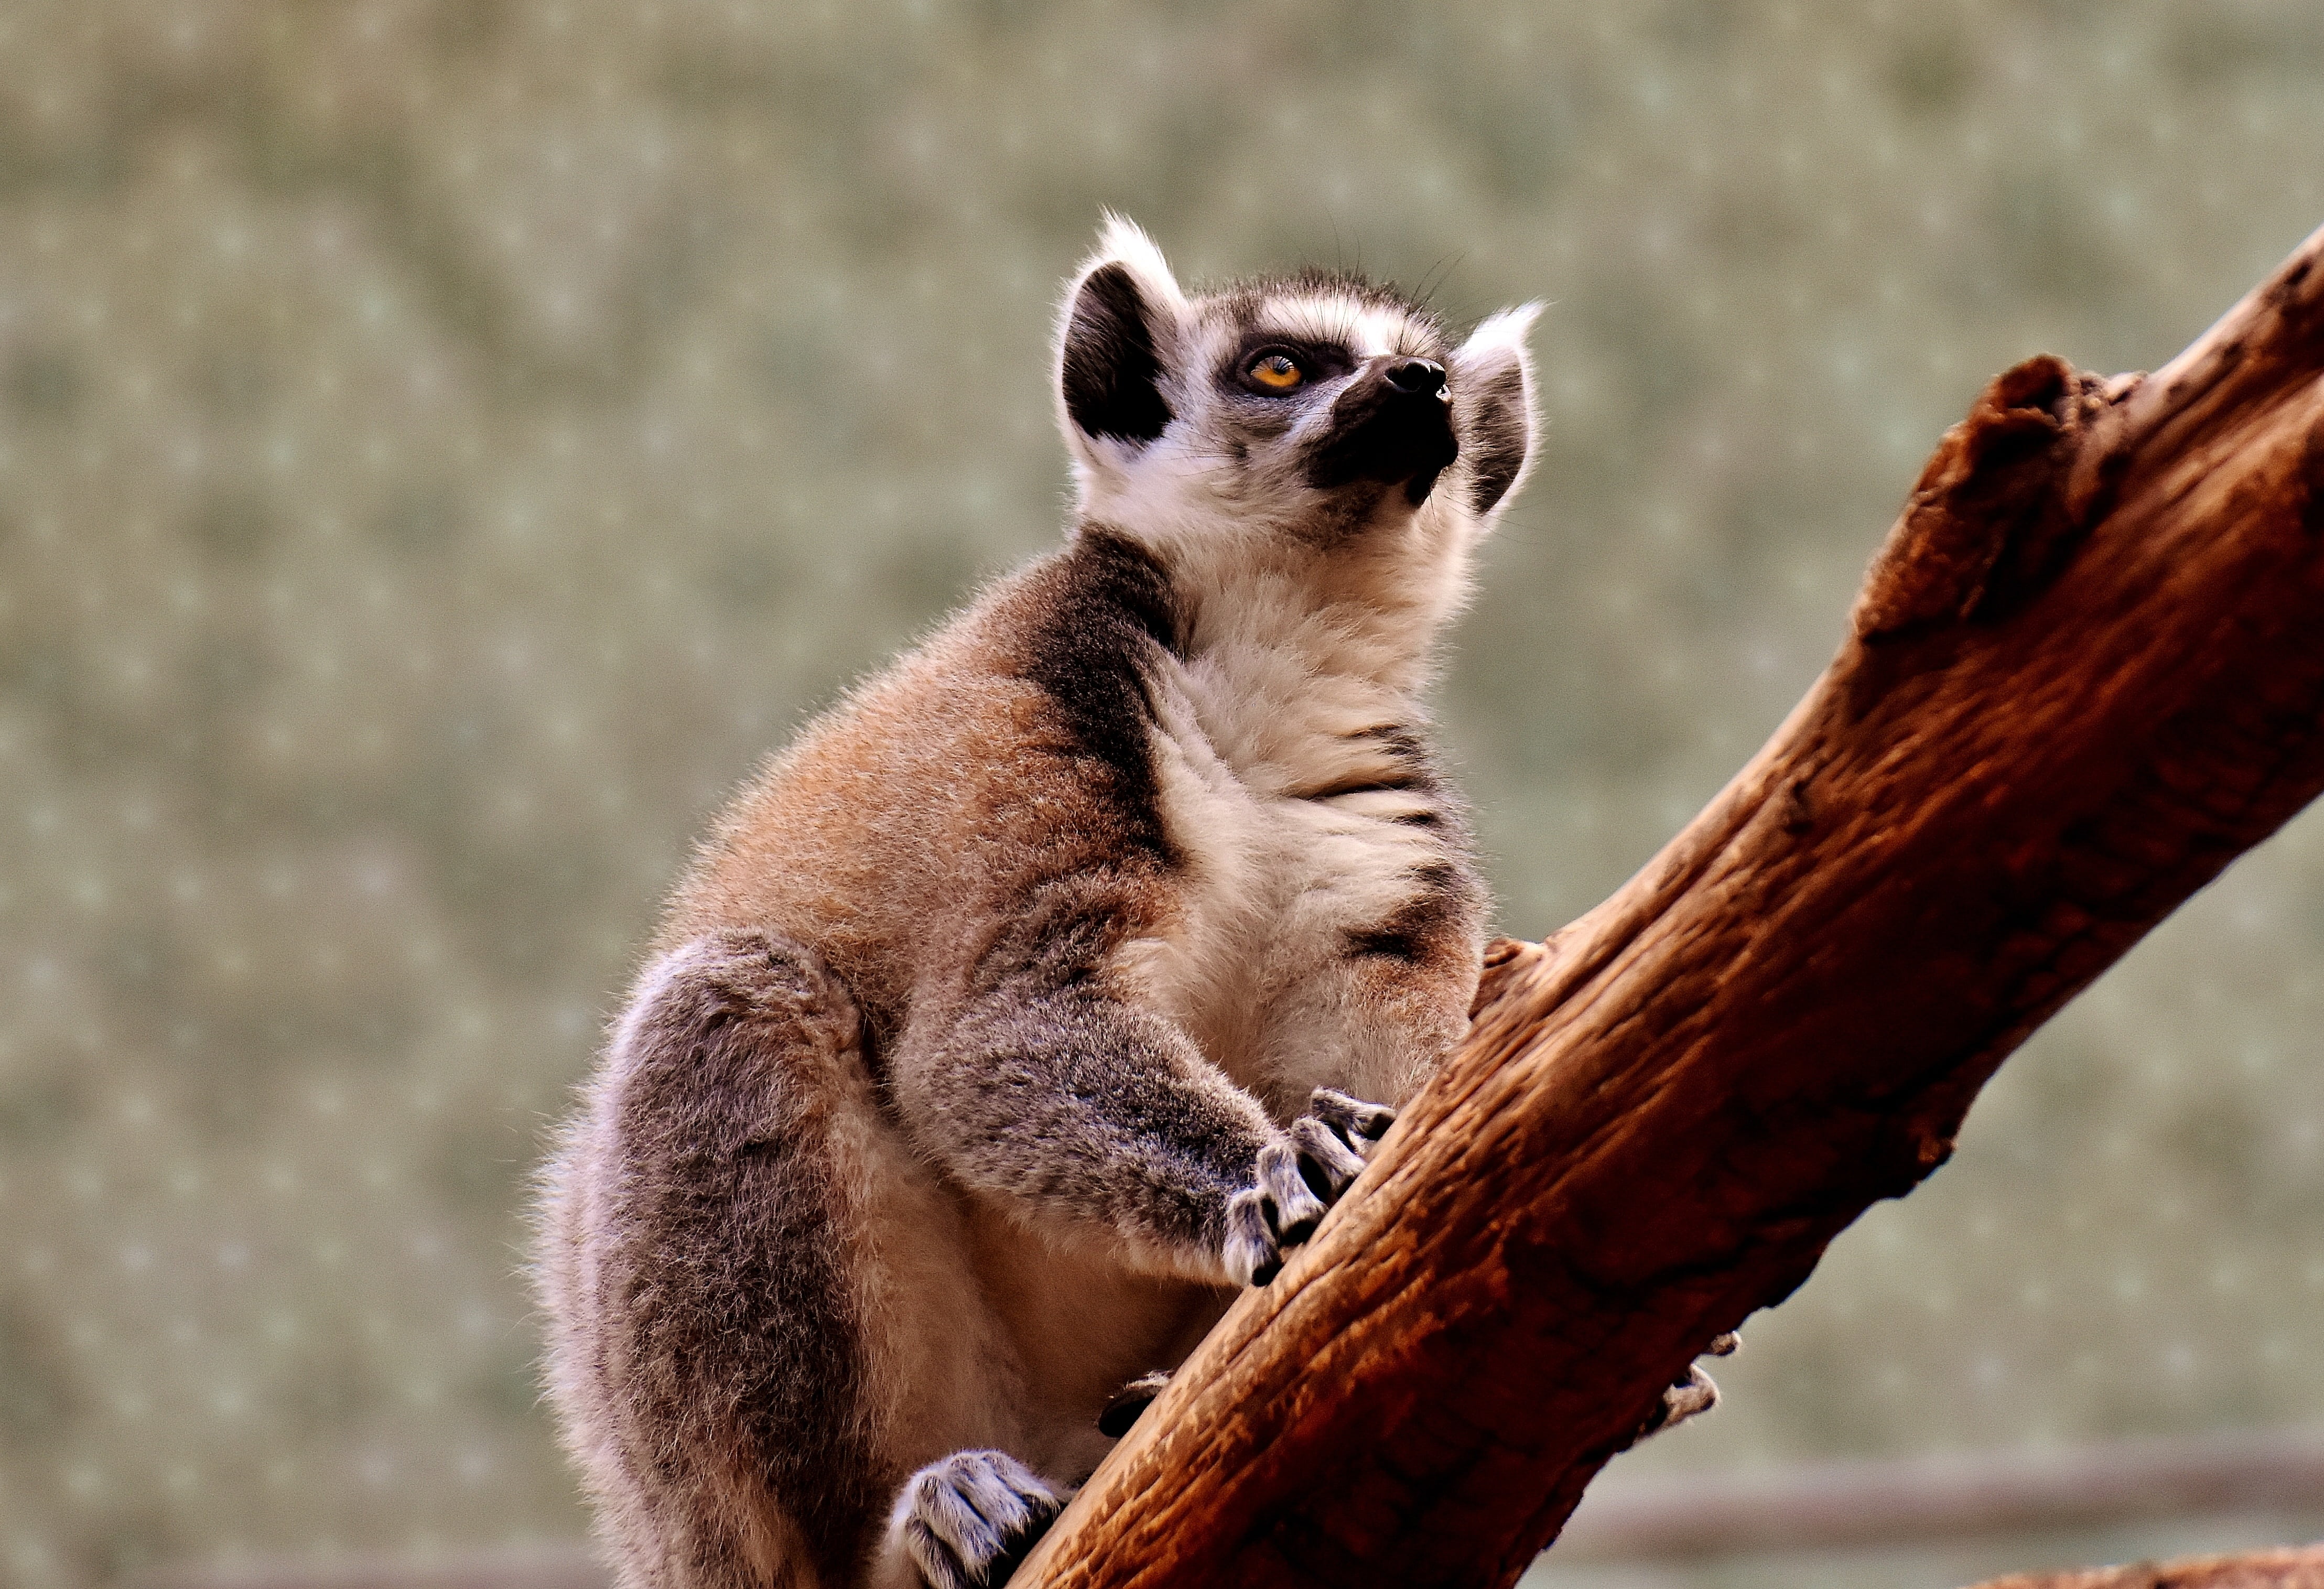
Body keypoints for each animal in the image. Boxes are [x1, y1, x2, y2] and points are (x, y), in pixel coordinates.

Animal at [534, 216, 1550, 1589]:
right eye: (1279, 369)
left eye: (1423, 369)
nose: (1416, 390)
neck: (1269, 669)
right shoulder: (1037, 738)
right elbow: (991, 1041)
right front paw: (1277, 1168)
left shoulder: (1374, 848)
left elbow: (1391, 1066)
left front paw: (1355, 1136)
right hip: (689, 1447)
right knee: (727, 1005)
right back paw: (911, 1525)